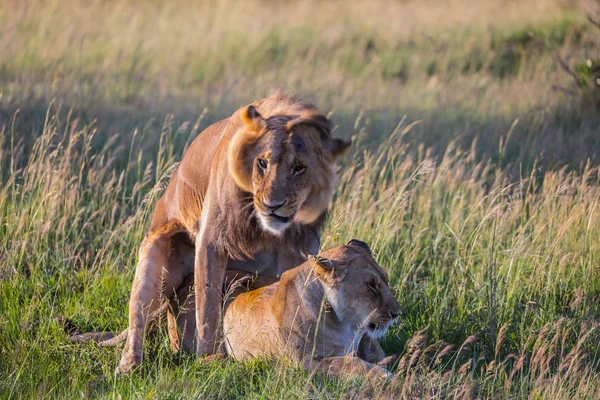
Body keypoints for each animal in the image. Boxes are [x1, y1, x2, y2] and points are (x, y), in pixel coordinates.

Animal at [119, 90, 350, 372]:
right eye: (262, 163)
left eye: (299, 168)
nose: (273, 206)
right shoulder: (212, 239)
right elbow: (207, 305)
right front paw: (208, 359)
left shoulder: (299, 249)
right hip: (155, 255)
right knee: (138, 317)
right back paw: (129, 366)